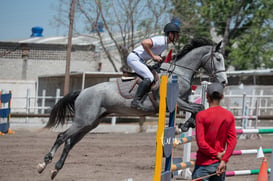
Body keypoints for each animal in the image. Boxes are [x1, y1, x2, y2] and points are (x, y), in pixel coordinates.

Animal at [37, 37, 226, 179]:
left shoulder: (182, 102)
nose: (224, 81)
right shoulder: (174, 101)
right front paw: (183, 126)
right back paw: (44, 163)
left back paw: (56, 168)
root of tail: (82, 92)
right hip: (83, 121)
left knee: (70, 142)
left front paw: (185, 125)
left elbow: (198, 107)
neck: (178, 73)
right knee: (62, 136)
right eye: (218, 59)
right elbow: (198, 108)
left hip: (90, 123)